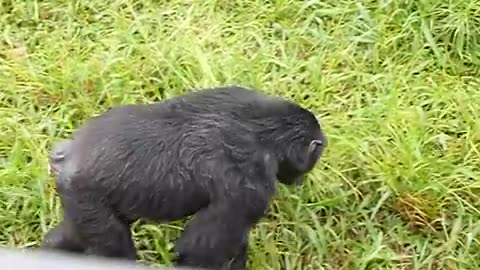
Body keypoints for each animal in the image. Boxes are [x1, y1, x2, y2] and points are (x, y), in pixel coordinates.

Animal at [41, 86, 328, 268]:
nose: (300, 180)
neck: (267, 131)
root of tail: (65, 155)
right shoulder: (250, 187)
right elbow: (198, 252)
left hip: (78, 201)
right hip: (86, 197)